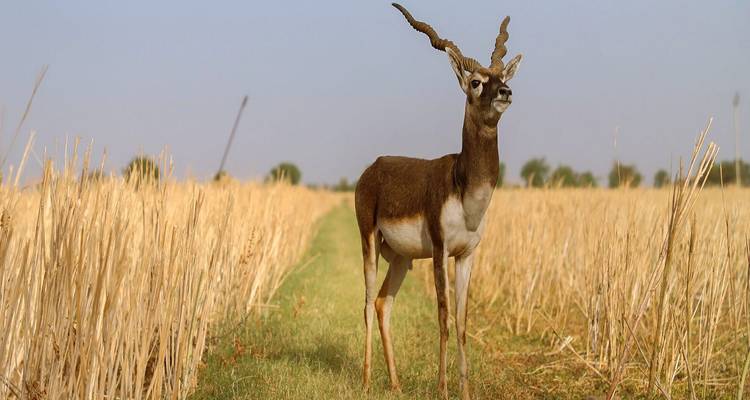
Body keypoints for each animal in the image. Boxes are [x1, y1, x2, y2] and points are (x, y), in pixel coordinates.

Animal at [355, 3, 522, 399]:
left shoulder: (467, 255)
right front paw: (443, 388)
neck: (464, 189)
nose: (505, 91)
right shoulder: (440, 250)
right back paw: (367, 380)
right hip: (369, 241)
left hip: (401, 258)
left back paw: (396, 383)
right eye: (475, 82)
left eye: (499, 76)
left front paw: (464, 390)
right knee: (367, 302)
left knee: (384, 303)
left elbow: (461, 322)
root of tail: (374, 167)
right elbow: (443, 317)